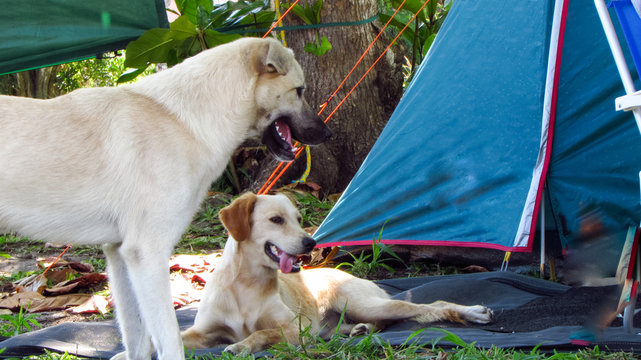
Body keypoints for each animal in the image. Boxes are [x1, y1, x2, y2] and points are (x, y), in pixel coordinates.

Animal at [0, 37, 330, 360]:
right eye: (299, 90)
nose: (325, 133)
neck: (184, 120)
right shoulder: (148, 254)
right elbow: (170, 340)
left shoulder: (120, 254)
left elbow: (137, 340)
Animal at [182, 194, 492, 354]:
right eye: (276, 220)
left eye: (298, 219)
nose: (311, 243)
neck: (245, 285)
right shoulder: (200, 332)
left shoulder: (296, 330)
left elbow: (262, 332)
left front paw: (241, 346)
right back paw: (359, 329)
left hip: (363, 303)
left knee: (429, 306)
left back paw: (475, 312)